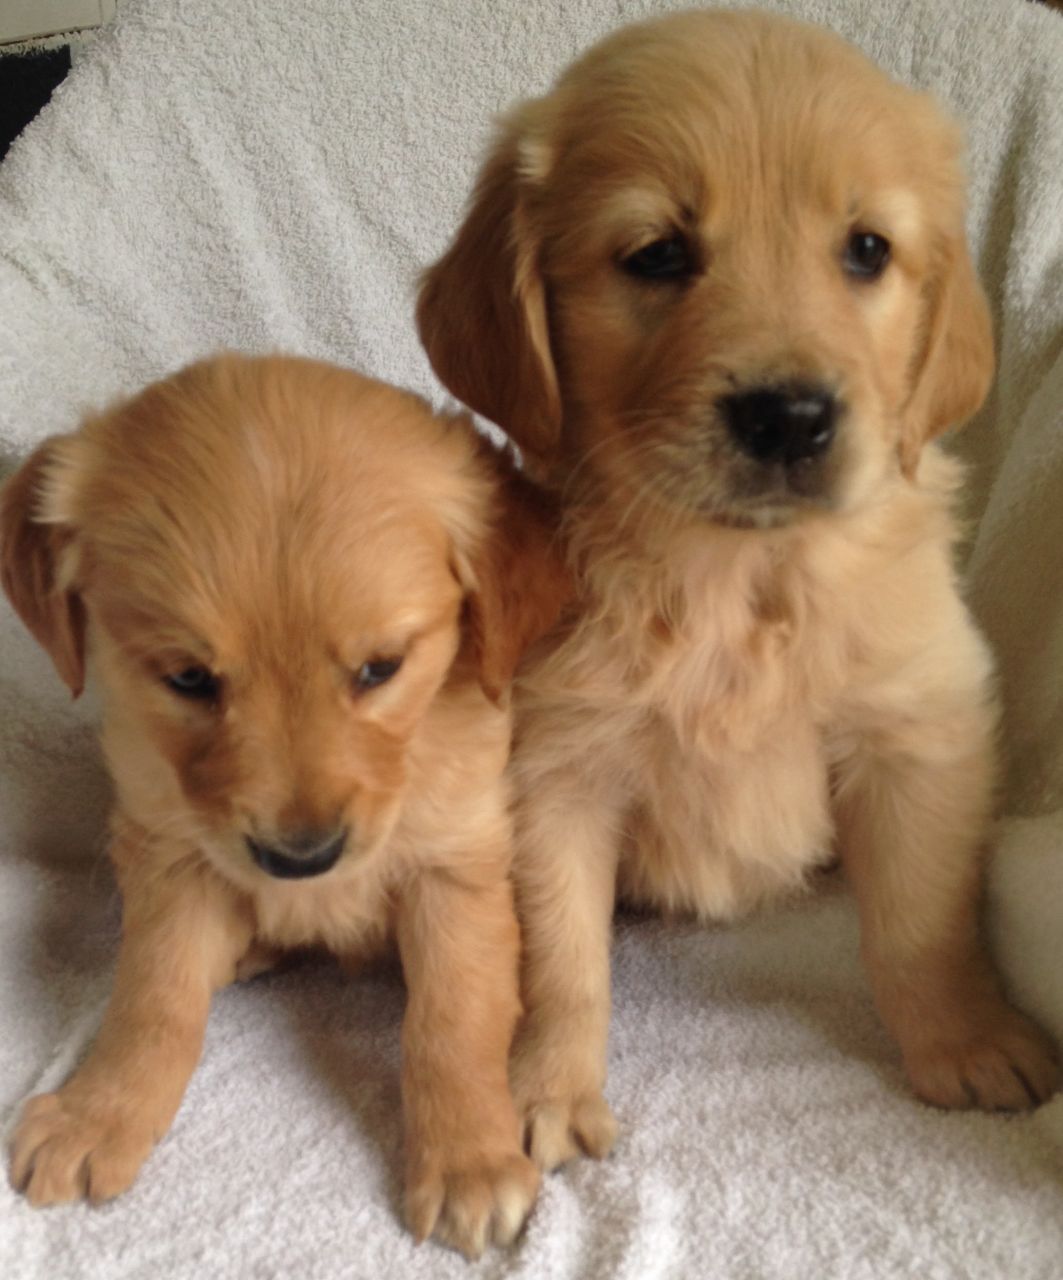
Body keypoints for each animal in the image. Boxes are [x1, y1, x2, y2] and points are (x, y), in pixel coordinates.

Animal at [2, 353, 566, 1259]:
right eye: (188, 678)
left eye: (381, 668)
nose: (300, 860)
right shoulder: (169, 853)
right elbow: (151, 999)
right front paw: (100, 1113)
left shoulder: (457, 866)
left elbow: (453, 1018)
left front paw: (468, 1159)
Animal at [420, 10, 1060, 1172]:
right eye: (657, 254)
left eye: (866, 248)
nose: (789, 416)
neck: (738, 579)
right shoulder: (552, 771)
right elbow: (560, 955)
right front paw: (546, 1089)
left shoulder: (916, 732)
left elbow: (919, 918)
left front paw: (966, 1039)